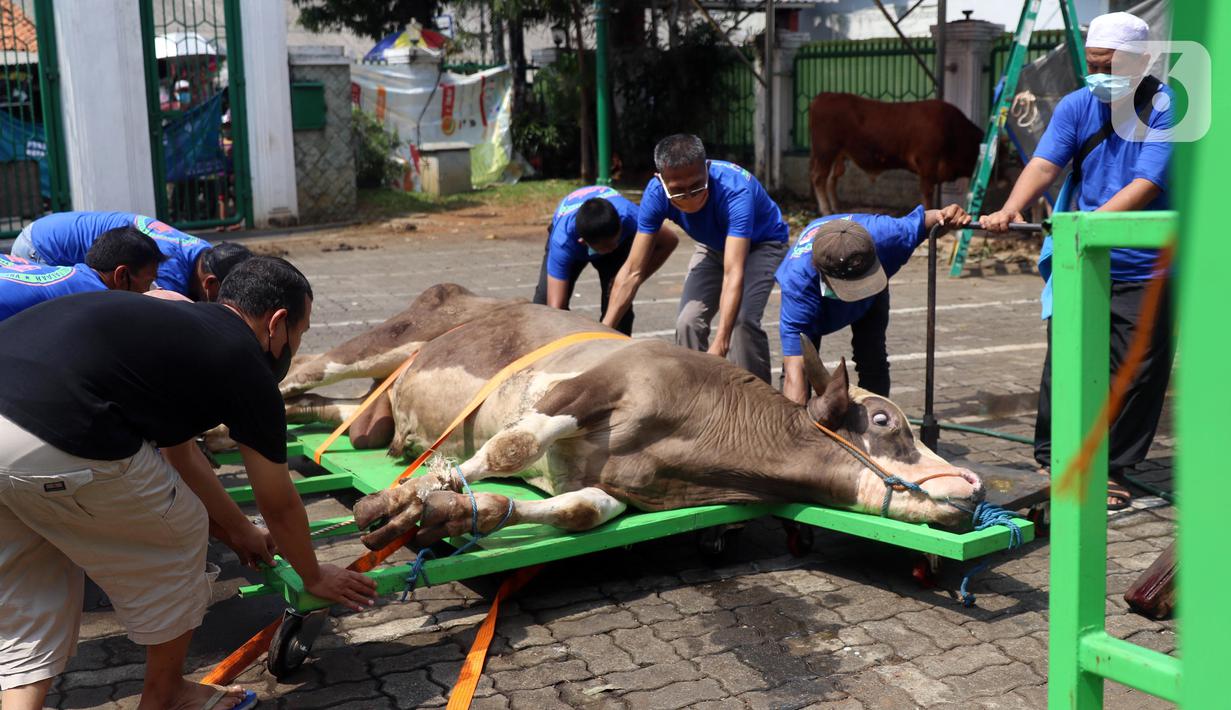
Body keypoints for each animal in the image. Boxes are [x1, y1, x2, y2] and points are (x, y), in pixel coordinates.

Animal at [807, 94, 979, 216]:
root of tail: (823, 97)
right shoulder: (927, 162)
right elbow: (927, 192)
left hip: (837, 155)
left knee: (831, 179)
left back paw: (836, 207)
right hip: (825, 151)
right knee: (819, 178)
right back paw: (826, 210)